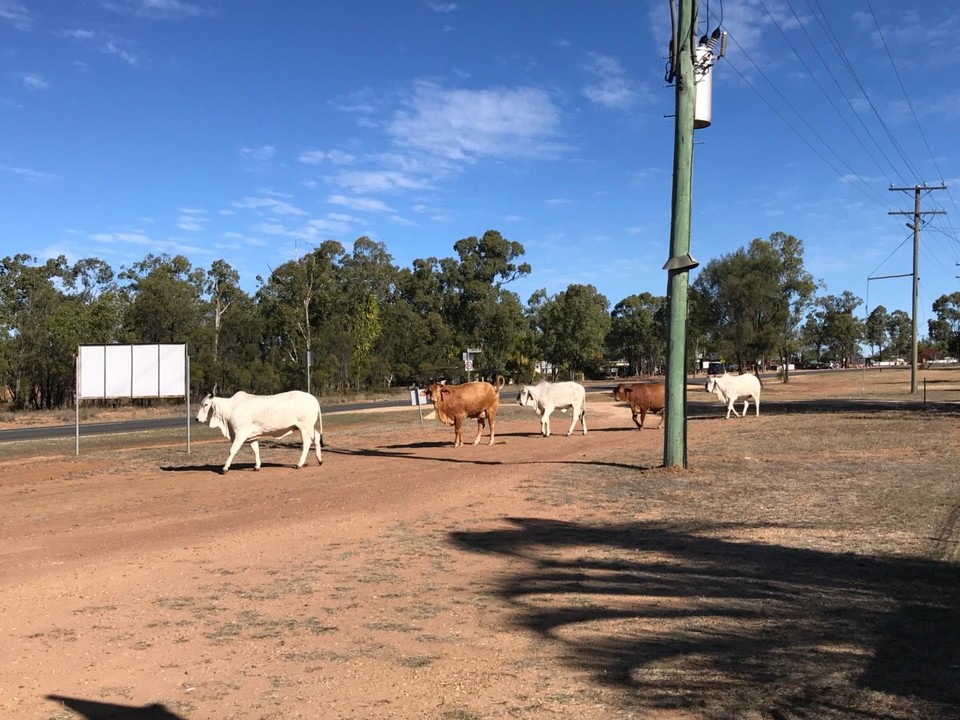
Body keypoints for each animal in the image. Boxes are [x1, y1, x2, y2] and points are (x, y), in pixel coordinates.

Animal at [194, 388, 322, 472]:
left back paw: (299, 464)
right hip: (309, 427)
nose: (197, 419)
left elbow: (232, 450)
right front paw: (257, 466)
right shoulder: (252, 435)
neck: (231, 408)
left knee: (306, 443)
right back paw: (320, 460)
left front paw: (225, 467)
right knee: (317, 437)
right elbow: (256, 450)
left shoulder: (241, 434)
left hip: (304, 427)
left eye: (206, 404)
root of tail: (313, 399)